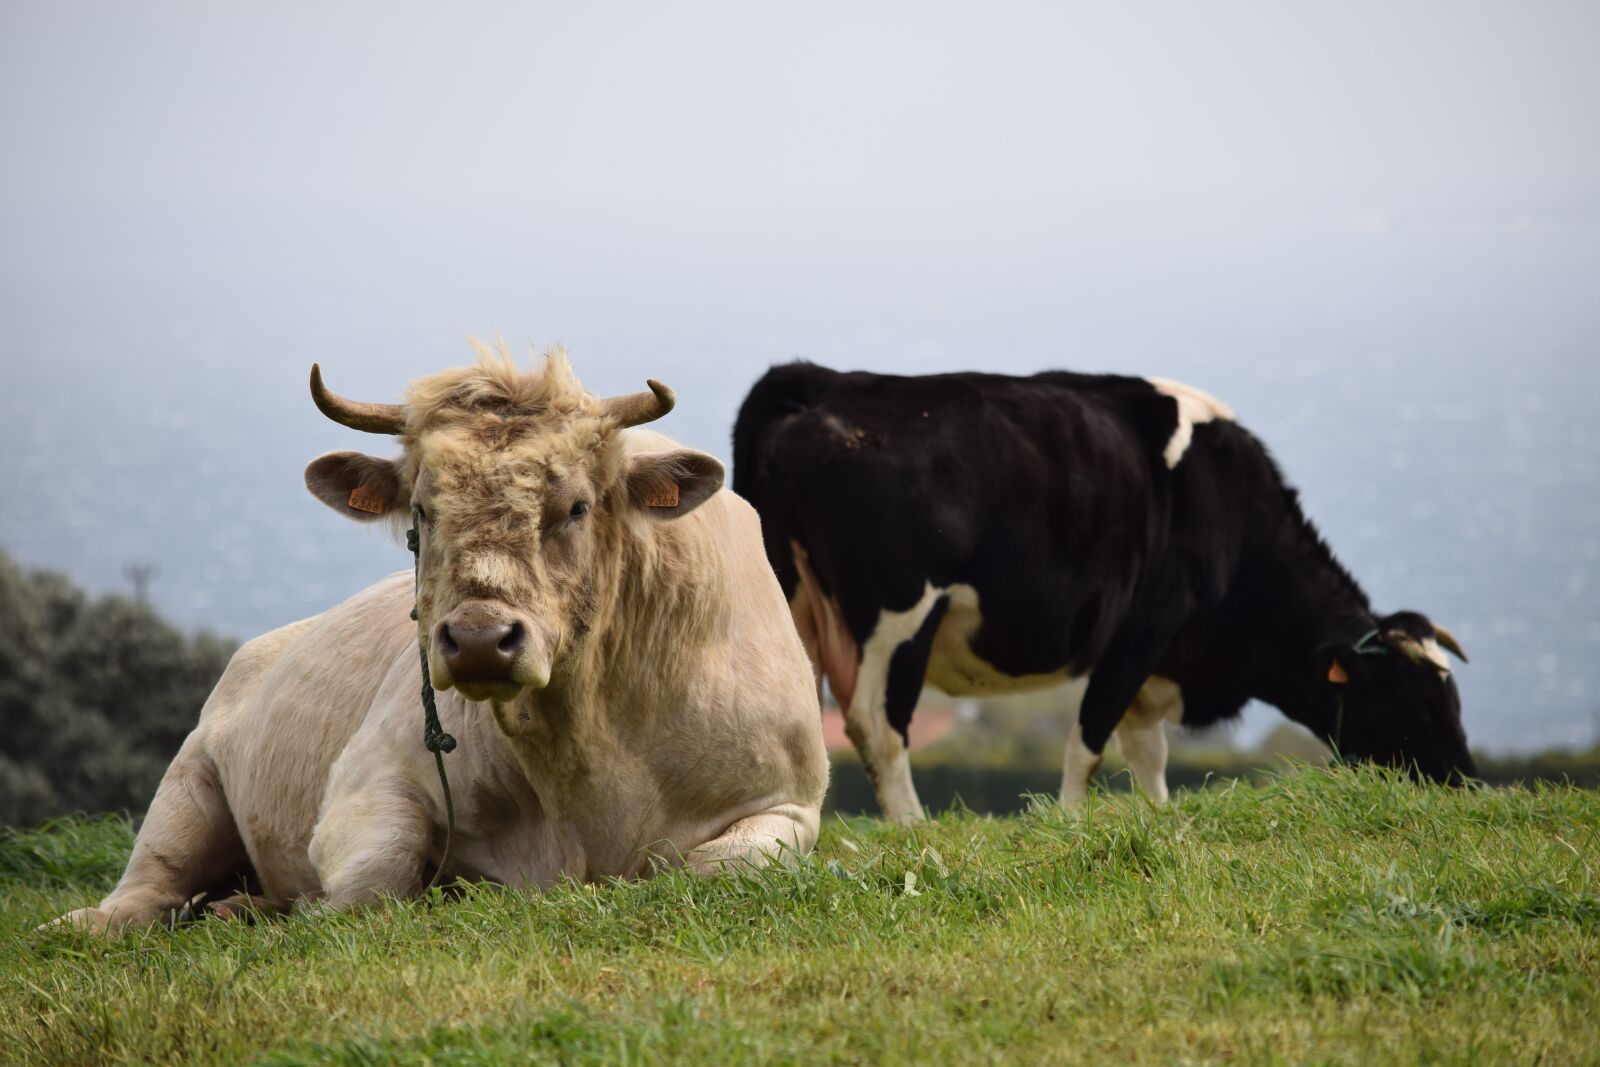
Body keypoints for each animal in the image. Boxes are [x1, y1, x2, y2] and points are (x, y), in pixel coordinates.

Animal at [54, 345, 827, 932]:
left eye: (577, 506)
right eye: (422, 510)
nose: (481, 640)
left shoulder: (787, 802)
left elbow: (716, 866)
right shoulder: (371, 774)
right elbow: (378, 869)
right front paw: (311, 906)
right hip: (188, 781)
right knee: (150, 884)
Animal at [733, 362, 1473, 823]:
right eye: (1417, 699)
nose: (1464, 781)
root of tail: (827, 383)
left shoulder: (1160, 661)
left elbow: (1148, 751)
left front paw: (1159, 817)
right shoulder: (1142, 629)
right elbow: (1089, 740)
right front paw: (1069, 824)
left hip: (789, 602)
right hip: (899, 616)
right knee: (877, 725)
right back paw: (913, 827)